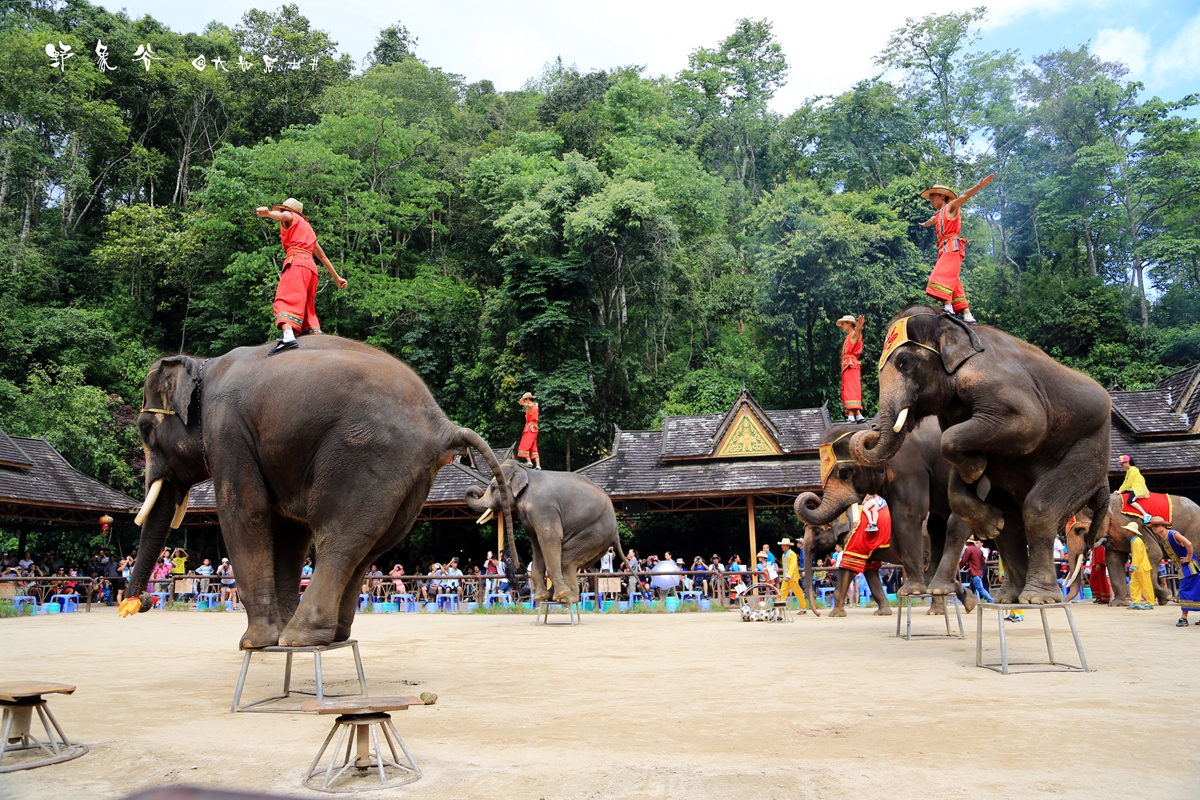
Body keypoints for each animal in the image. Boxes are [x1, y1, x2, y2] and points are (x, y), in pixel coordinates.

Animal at [123, 335, 516, 652]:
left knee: (338, 538)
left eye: (144, 430)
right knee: (370, 545)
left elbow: (246, 513)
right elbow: (290, 531)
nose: (139, 603)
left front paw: (255, 642)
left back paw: (299, 638)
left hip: (365, 457)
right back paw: (330, 636)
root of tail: (441, 424)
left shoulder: (227, 431)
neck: (202, 364)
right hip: (411, 476)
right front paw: (271, 634)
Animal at [460, 460, 624, 604]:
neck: (526, 472)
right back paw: (555, 597)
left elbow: (549, 537)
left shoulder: (543, 508)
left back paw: (565, 598)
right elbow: (537, 543)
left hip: (595, 533)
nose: (477, 490)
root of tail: (616, 531)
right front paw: (540, 597)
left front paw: (552, 595)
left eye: (493, 487)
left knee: (566, 560)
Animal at [796, 419, 974, 618]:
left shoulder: (908, 468)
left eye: (844, 472)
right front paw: (882, 613)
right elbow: (870, 570)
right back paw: (949, 604)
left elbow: (850, 566)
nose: (817, 614)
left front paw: (835, 615)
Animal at [849, 309, 1108, 606]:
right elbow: (956, 466)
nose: (870, 428)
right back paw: (1009, 596)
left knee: (1039, 508)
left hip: (1087, 454)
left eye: (904, 362)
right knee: (1012, 524)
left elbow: (1028, 423)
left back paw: (1036, 598)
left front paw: (975, 470)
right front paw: (984, 501)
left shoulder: (992, 380)